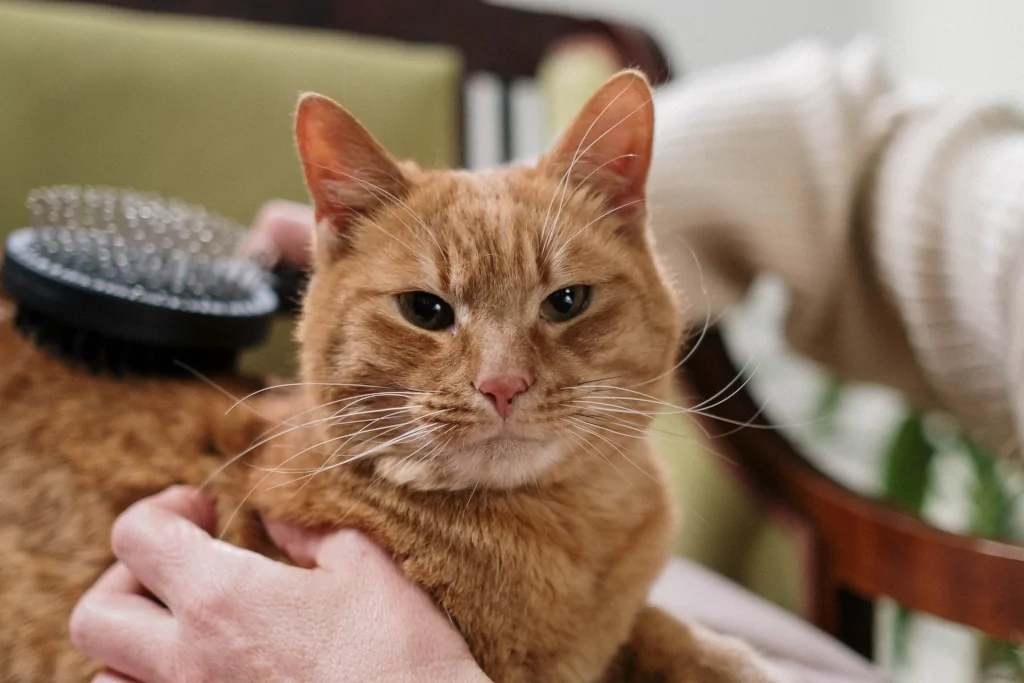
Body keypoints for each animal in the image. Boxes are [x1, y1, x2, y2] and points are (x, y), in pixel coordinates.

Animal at [0, 70, 786, 683]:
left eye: (566, 302)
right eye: (425, 310)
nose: (503, 384)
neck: (561, 539)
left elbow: (663, 631)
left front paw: (720, 656)